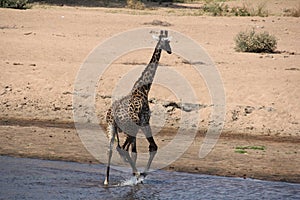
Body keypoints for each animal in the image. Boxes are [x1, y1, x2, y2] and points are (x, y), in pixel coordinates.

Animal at [103, 30, 172, 186]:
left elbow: (135, 152)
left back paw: (106, 181)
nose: (170, 51)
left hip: (111, 128)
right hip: (131, 127)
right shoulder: (145, 121)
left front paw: (137, 176)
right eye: (167, 42)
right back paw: (137, 174)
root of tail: (114, 116)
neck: (143, 89)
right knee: (122, 148)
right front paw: (141, 175)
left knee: (111, 149)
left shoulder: (139, 125)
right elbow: (153, 147)